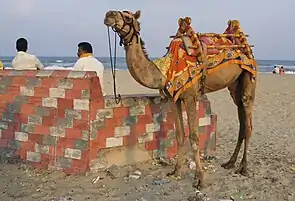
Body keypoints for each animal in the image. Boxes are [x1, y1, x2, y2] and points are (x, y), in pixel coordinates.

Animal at [104, 9, 256, 188]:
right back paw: (230, 162)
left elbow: (194, 137)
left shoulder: (190, 97)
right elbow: (179, 135)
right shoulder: (174, 100)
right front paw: (176, 171)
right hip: (234, 85)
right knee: (241, 120)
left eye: (127, 17)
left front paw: (200, 179)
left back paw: (243, 168)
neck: (165, 70)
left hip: (249, 77)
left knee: (248, 124)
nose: (109, 15)